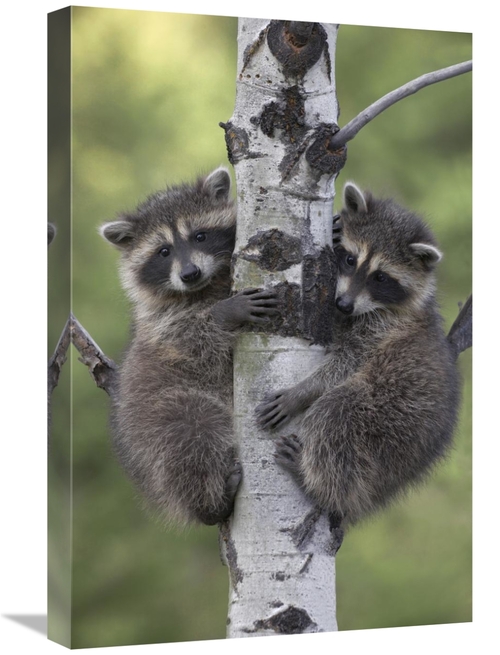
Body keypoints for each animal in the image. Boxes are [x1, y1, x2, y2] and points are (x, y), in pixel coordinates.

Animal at [100, 167, 277, 526]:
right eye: (163, 252)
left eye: (200, 236)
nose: (190, 273)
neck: (205, 288)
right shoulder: (161, 325)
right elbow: (195, 341)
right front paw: (224, 314)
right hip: (163, 416)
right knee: (192, 435)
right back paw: (209, 504)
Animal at [256, 181, 460, 529]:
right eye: (350, 260)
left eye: (381, 277)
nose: (343, 305)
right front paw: (337, 225)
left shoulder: (382, 330)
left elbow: (346, 363)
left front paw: (302, 391)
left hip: (392, 415)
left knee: (335, 414)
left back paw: (321, 487)